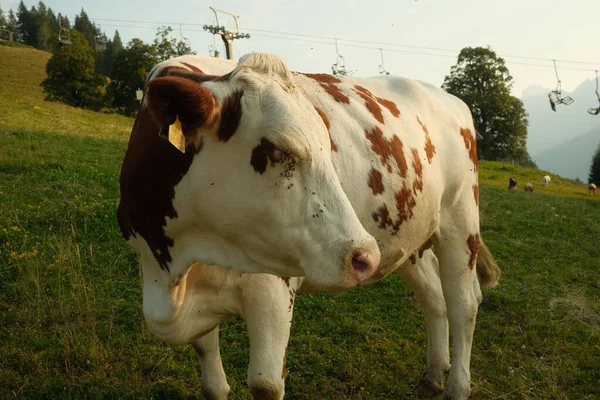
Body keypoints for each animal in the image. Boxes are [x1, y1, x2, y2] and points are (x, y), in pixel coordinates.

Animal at [118, 54, 502, 400]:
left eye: (326, 148)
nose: (363, 257)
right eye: (277, 150)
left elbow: (265, 384)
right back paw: (434, 376)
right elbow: (211, 378)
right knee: (433, 295)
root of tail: (449, 99)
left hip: (460, 219)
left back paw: (457, 386)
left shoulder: (271, 287)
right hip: (408, 239)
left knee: (463, 303)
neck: (171, 272)